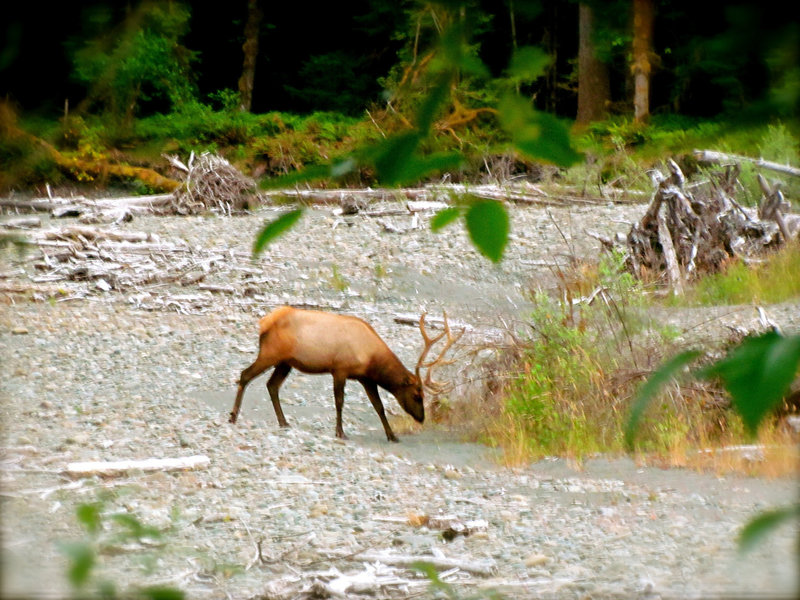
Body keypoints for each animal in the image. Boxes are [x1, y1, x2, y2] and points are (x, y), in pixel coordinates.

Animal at [228, 304, 462, 440]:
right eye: (416, 395)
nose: (421, 418)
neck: (370, 358)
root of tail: (263, 322)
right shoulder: (340, 369)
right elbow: (339, 401)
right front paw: (340, 432)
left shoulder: (366, 378)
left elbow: (379, 406)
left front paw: (392, 435)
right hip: (270, 354)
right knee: (245, 375)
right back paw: (233, 416)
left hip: (286, 362)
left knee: (272, 385)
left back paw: (283, 421)